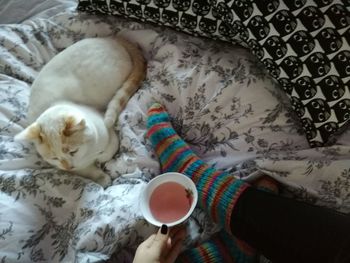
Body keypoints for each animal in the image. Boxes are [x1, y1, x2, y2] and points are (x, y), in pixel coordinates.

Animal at [14, 36, 146, 188]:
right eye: (54, 158)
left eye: (73, 152)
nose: (67, 167)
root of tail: (111, 39)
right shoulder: (78, 168)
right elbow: (86, 170)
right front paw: (101, 177)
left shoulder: (107, 130)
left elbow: (111, 148)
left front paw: (101, 157)